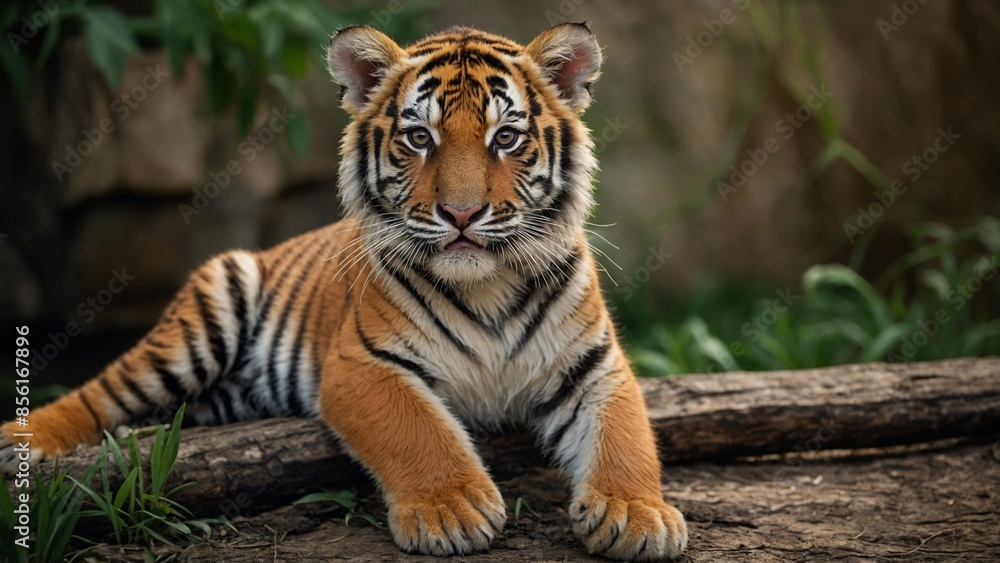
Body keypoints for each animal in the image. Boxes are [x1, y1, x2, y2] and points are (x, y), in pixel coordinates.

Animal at [1, 23, 688, 560]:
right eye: (420, 138)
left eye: (506, 138)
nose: (462, 214)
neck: (487, 285)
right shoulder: (361, 364)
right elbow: (419, 430)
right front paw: (453, 510)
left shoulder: (596, 365)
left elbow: (627, 436)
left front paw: (638, 514)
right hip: (203, 317)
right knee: (98, 397)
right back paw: (20, 441)